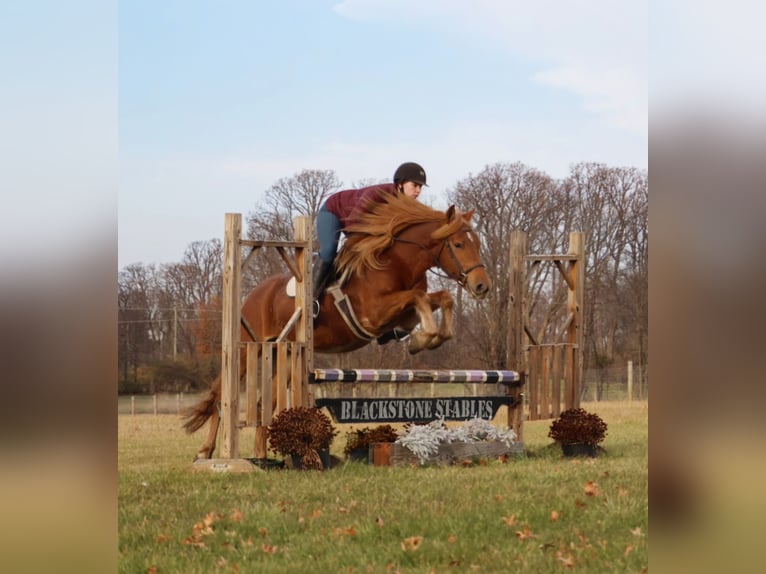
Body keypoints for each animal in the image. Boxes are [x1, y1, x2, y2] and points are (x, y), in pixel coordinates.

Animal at [183, 191, 492, 459]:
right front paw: (426, 336)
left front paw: (428, 338)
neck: (398, 262)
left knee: (264, 403)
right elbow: (419, 297)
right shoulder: (373, 314)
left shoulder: (401, 315)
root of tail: (253, 294)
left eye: (477, 244)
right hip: (249, 349)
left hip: (285, 353)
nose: (482, 286)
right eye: (459, 245)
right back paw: (206, 452)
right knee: (221, 396)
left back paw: (260, 454)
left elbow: (440, 298)